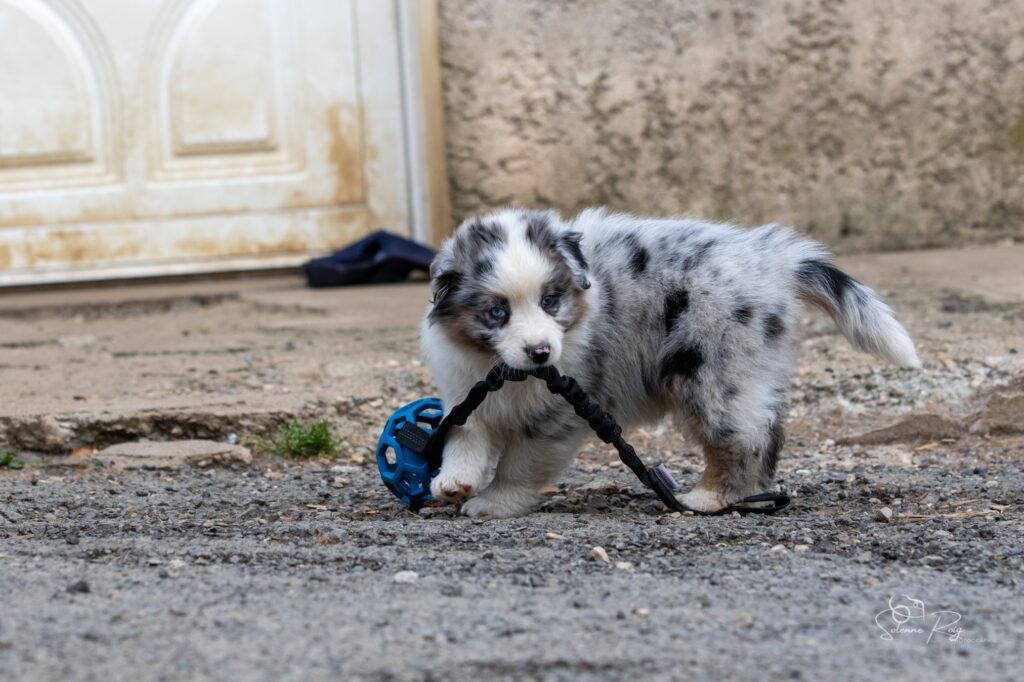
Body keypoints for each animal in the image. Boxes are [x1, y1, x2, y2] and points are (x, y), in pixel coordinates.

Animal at [420, 208, 920, 518]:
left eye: (550, 301)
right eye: (496, 313)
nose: (541, 352)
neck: (508, 371)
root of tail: (771, 258)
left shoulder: (557, 415)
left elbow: (518, 463)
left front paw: (495, 502)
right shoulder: (467, 389)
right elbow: (465, 434)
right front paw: (454, 481)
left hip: (714, 373)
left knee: (746, 438)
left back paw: (709, 498)